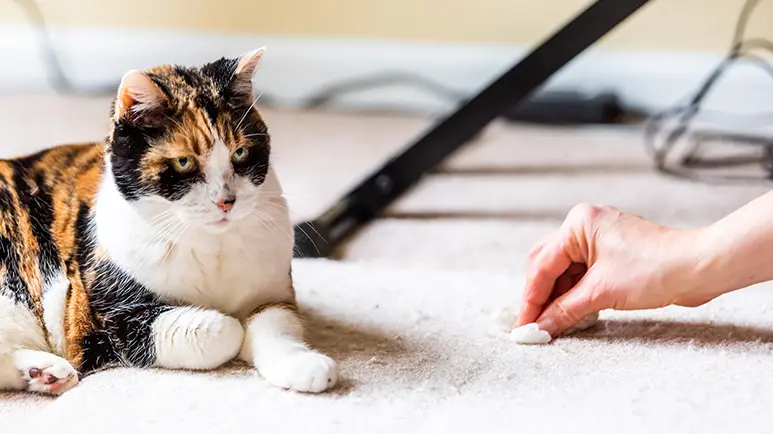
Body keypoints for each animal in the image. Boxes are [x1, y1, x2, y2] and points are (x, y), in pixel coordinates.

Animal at [0, 49, 338, 396]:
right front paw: (233, 329)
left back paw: (44, 373)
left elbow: (276, 326)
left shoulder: (273, 294)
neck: (211, 245)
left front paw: (306, 366)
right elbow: (225, 330)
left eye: (241, 153)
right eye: (183, 161)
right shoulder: (108, 318)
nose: (226, 201)